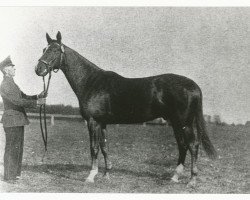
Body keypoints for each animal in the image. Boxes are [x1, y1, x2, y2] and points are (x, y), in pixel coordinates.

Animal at [34, 30, 217, 186]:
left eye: (55, 50)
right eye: (44, 49)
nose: (38, 69)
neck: (91, 82)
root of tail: (194, 86)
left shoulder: (93, 122)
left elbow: (94, 148)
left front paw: (91, 176)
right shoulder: (102, 123)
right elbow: (104, 147)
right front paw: (106, 174)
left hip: (184, 122)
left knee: (192, 145)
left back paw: (191, 180)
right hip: (176, 122)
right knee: (182, 145)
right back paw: (175, 176)